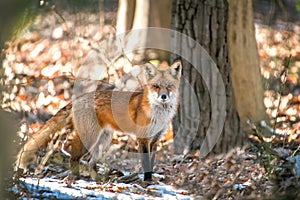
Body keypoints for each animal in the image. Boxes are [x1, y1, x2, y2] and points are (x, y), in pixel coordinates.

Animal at [16, 61, 182, 181]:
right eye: (156, 86)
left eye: (169, 86)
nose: (163, 97)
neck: (159, 115)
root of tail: (78, 98)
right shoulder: (142, 138)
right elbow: (146, 163)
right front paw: (147, 182)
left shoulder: (155, 139)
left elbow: (151, 163)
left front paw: (152, 180)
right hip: (89, 140)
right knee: (73, 159)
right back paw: (76, 178)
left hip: (103, 142)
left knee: (90, 163)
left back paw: (99, 180)